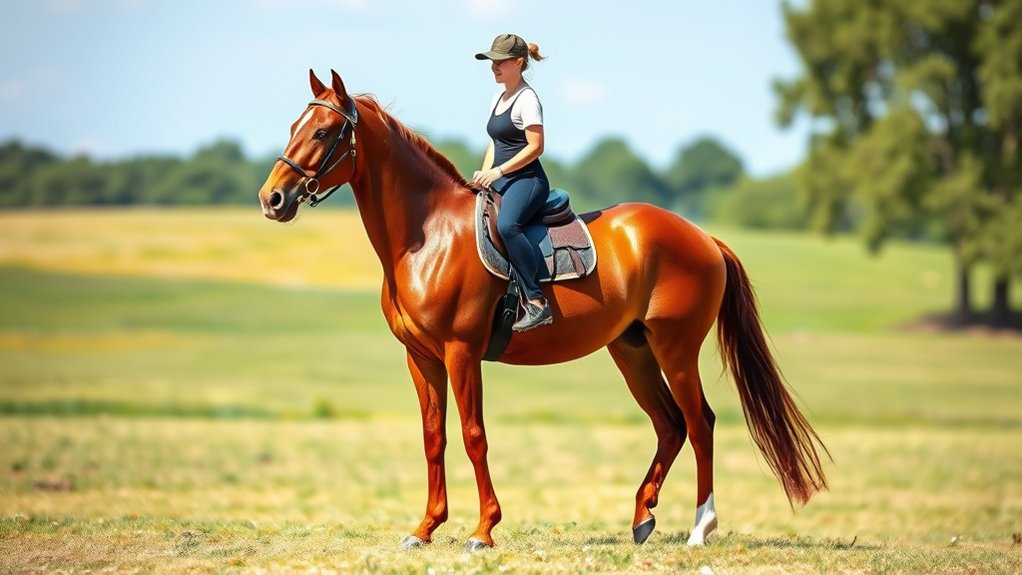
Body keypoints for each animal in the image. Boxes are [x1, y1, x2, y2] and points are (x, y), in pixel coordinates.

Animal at [258, 69, 828, 550]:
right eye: (293, 126)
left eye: (323, 132)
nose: (273, 199)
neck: (427, 235)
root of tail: (702, 236)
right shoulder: (420, 358)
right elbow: (433, 438)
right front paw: (424, 528)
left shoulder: (461, 353)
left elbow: (474, 436)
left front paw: (483, 531)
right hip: (633, 350)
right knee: (670, 426)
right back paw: (642, 517)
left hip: (676, 349)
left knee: (700, 422)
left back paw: (699, 528)